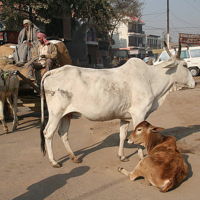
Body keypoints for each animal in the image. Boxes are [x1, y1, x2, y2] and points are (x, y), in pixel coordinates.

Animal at [39, 43, 195, 167]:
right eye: (185, 65)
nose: (194, 83)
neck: (151, 79)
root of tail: (54, 71)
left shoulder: (125, 117)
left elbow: (123, 135)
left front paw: (122, 156)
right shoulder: (139, 114)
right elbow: (139, 137)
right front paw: (141, 158)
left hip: (67, 114)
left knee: (63, 133)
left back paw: (74, 157)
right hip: (55, 113)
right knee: (48, 133)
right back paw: (54, 161)